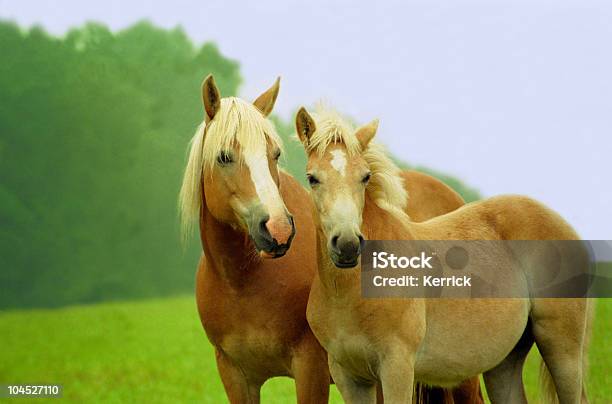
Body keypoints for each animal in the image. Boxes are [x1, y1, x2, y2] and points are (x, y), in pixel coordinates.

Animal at [177, 74, 482, 402]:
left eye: (275, 154)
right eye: (224, 157)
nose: (278, 229)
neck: (243, 281)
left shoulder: (311, 367)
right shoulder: (234, 374)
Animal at [296, 105, 592, 404]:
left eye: (365, 177)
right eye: (312, 178)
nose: (347, 244)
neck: (349, 293)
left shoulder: (397, 367)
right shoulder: (349, 376)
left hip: (562, 349)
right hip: (505, 360)